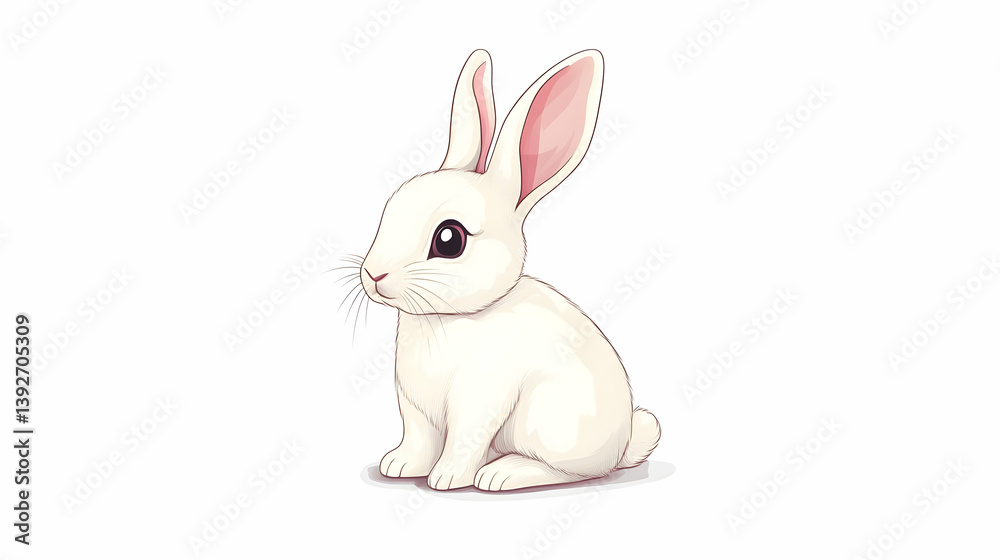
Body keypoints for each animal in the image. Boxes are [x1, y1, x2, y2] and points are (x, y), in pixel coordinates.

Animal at [359, 49, 660, 491]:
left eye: (449, 240)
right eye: (390, 208)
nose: (373, 275)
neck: (448, 318)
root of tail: (622, 446)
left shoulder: (479, 402)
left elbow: (463, 441)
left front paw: (445, 478)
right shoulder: (415, 409)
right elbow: (418, 440)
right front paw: (399, 466)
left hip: (547, 421)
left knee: (568, 471)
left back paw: (501, 474)